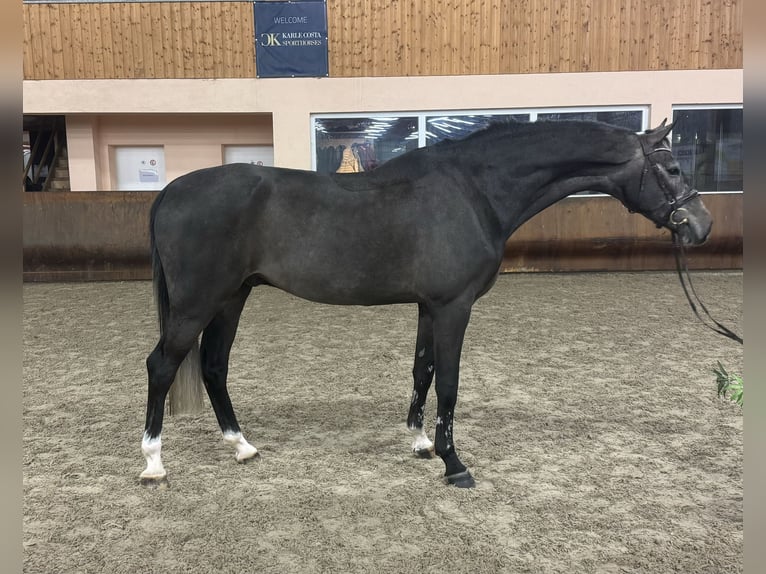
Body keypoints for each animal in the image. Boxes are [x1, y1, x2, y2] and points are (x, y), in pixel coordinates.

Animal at [140, 120, 712, 490]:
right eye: (672, 168)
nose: (702, 226)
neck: (474, 191)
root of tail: (171, 191)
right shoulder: (453, 306)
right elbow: (451, 383)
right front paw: (454, 464)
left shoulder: (428, 307)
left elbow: (423, 370)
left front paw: (420, 443)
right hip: (198, 303)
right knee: (162, 365)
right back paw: (153, 463)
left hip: (232, 298)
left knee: (214, 366)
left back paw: (242, 446)